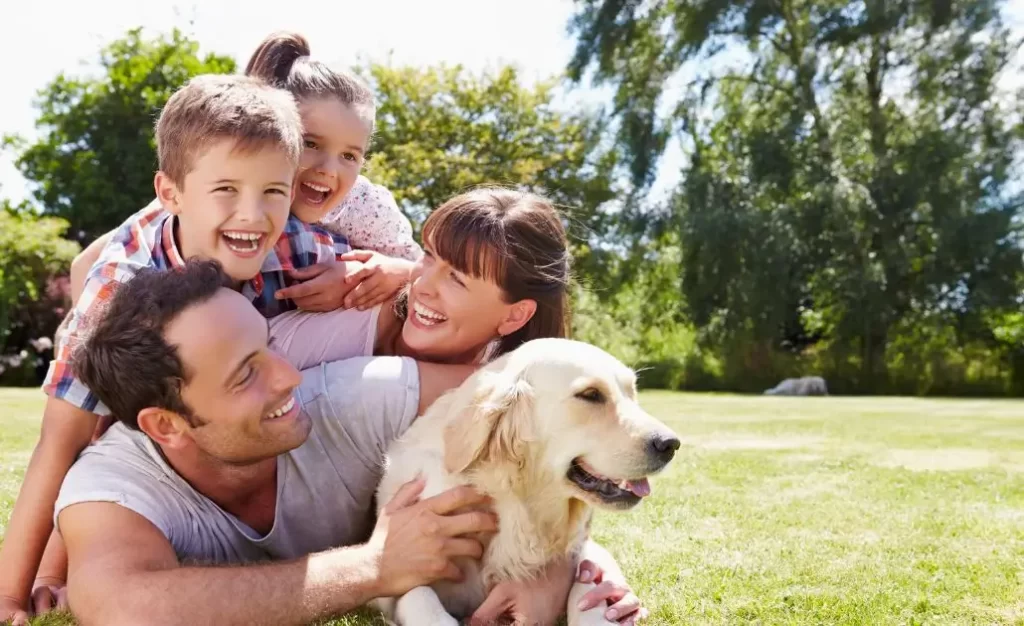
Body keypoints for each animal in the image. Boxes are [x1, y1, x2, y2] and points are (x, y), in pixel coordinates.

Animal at [372, 340, 675, 622]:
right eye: (590, 394)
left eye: (632, 393)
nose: (671, 444)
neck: (515, 504)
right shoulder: (401, 575)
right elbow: (421, 598)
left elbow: (587, 587)